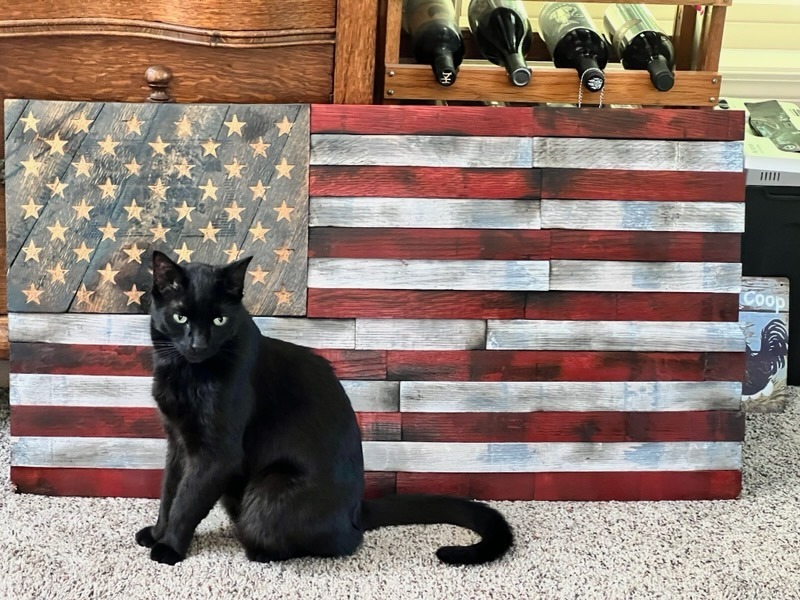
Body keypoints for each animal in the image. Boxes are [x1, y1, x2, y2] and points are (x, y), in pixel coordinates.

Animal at [136, 250, 512, 568]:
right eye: (180, 316)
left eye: (219, 320)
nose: (198, 344)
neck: (186, 374)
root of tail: (357, 510)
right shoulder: (178, 442)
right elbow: (170, 492)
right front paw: (156, 534)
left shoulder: (217, 455)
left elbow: (187, 502)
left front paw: (168, 549)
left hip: (269, 491)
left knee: (340, 542)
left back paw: (257, 550)